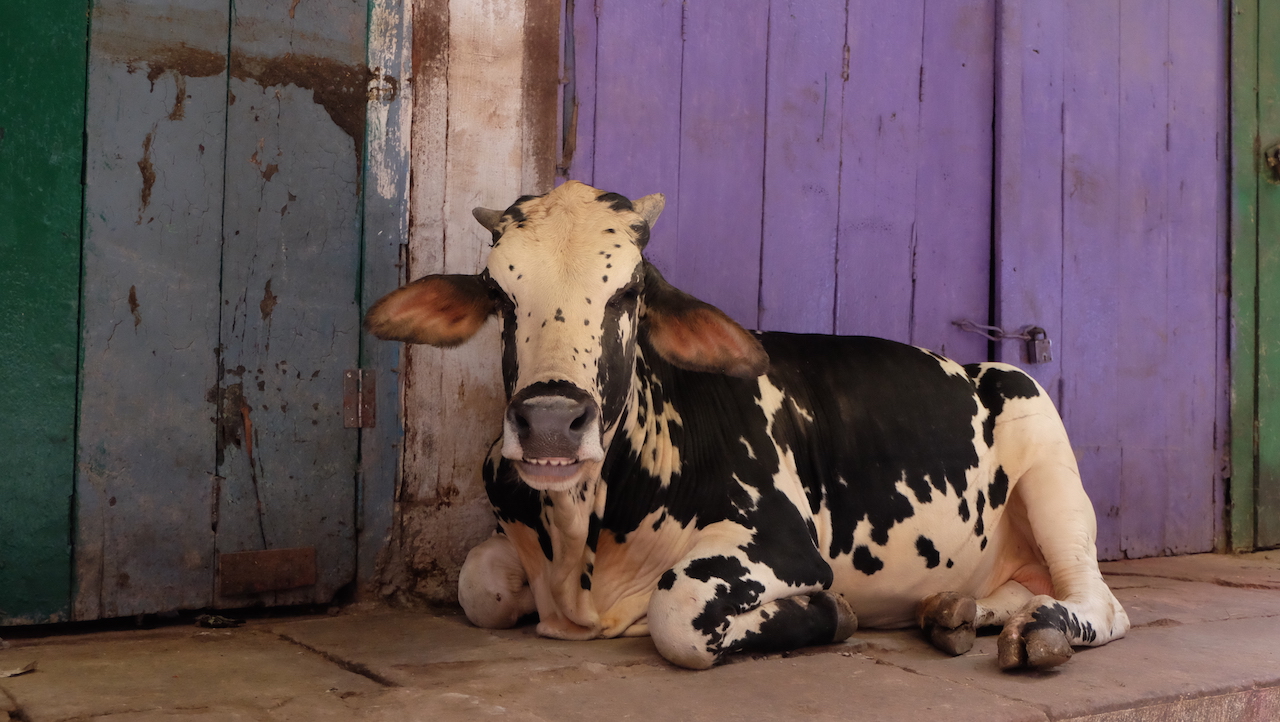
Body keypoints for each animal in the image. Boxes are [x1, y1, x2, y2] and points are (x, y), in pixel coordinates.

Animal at [368, 180, 1131, 670]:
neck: (580, 549)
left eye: (629, 292)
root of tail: (981, 364)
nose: (551, 423)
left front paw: (833, 614)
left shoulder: (781, 544)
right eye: (499, 292)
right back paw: (954, 612)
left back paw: (1041, 632)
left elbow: (676, 613)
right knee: (1021, 588)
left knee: (1099, 601)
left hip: (1050, 465)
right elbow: (479, 584)